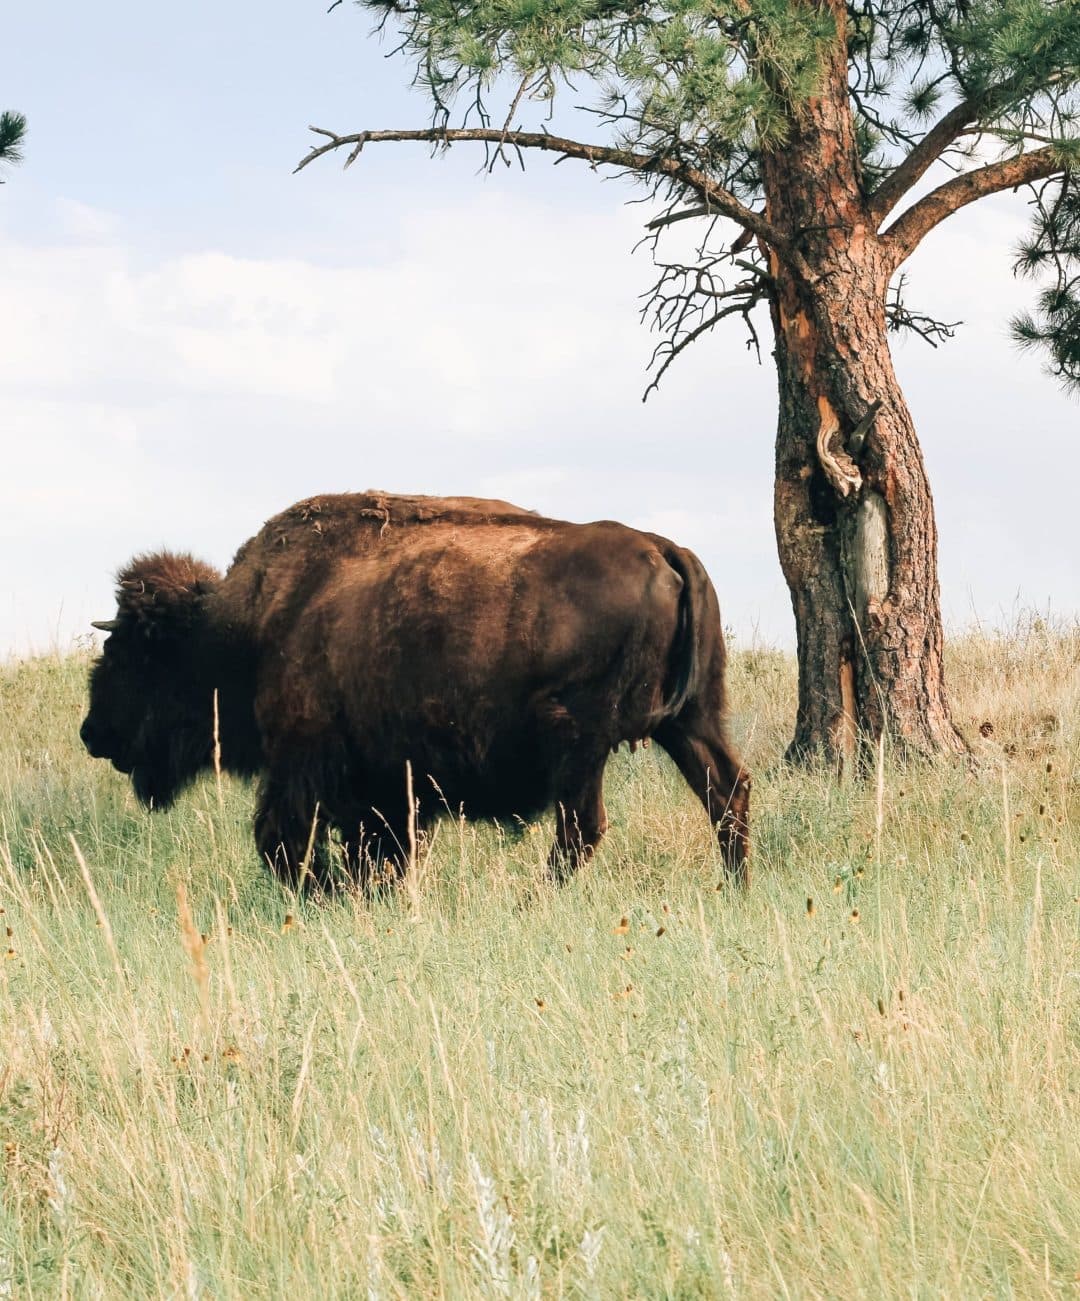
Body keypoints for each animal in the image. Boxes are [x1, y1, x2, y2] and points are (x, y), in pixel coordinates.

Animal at [80, 491, 754, 889]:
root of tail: (666, 549)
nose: (92, 733)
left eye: (128, 655)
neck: (243, 628)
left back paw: (537, 900)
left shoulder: (306, 764)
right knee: (725, 791)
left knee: (581, 830)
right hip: (691, 719)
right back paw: (735, 888)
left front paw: (327, 893)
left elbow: (285, 841)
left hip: (583, 742)